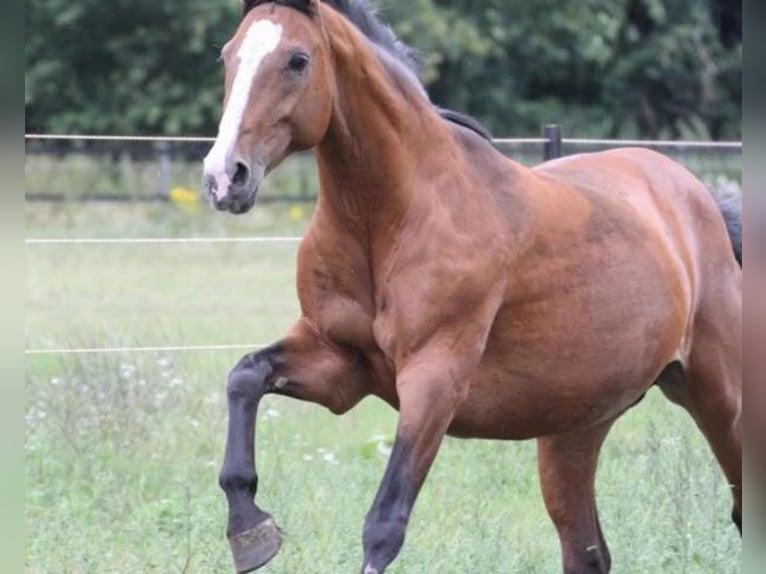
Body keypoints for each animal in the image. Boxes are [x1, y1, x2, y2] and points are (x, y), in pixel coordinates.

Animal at [202, 2, 744, 572]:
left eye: (297, 60)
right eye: (228, 56)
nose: (225, 177)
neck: (391, 218)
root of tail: (700, 198)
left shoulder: (435, 378)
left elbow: (384, 525)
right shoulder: (338, 362)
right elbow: (245, 376)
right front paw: (249, 529)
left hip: (720, 400)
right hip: (574, 431)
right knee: (587, 552)